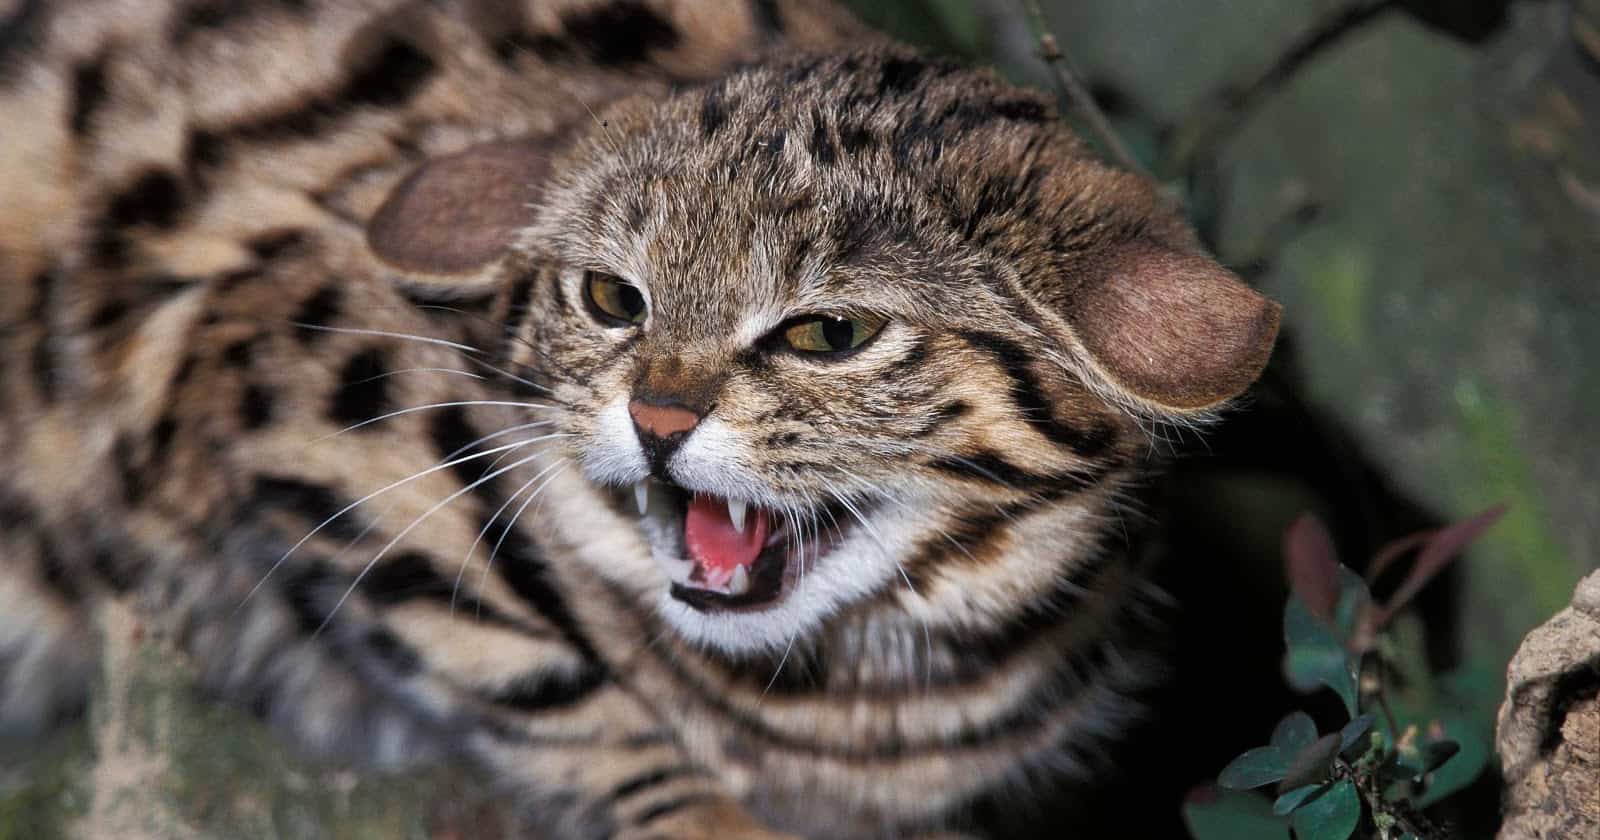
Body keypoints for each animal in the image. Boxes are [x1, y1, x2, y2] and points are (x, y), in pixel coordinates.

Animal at [0, 3, 1280, 832]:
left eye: (828, 333)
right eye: (614, 299)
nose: (657, 416)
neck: (856, 706)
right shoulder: (280, 374)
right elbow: (550, 674)